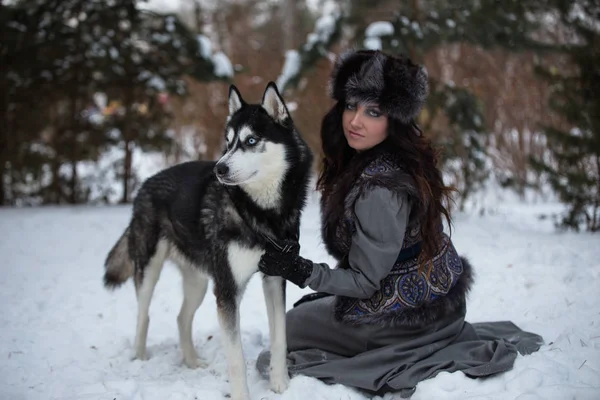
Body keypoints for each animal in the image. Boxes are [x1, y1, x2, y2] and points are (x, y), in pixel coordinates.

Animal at [103, 82, 314, 400]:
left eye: (251, 140)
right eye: (227, 142)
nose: (219, 169)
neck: (261, 213)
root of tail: (143, 187)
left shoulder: (276, 276)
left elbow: (279, 338)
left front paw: (281, 385)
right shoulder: (227, 290)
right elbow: (236, 359)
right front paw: (243, 396)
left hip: (200, 280)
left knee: (181, 318)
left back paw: (191, 361)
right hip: (150, 269)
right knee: (144, 316)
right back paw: (139, 359)